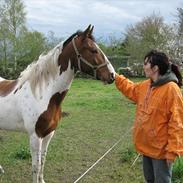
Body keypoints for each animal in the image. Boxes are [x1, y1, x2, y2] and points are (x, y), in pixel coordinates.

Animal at [0, 25, 114, 182]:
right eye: (93, 50)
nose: (112, 75)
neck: (43, 94)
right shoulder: (35, 136)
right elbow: (35, 166)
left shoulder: (49, 134)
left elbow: (43, 161)